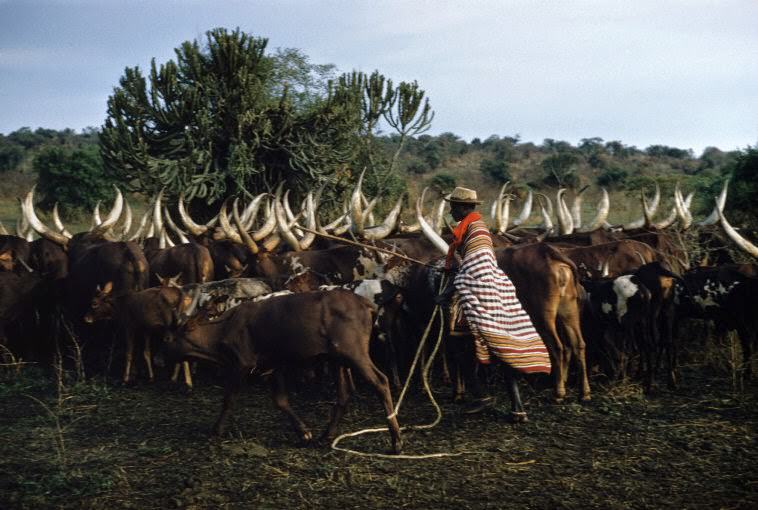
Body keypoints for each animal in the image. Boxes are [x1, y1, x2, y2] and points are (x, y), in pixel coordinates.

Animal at [164, 288, 406, 452]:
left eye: (170, 338)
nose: (159, 358)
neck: (223, 329)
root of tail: (367, 304)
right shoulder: (274, 365)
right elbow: (281, 401)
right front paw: (305, 433)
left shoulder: (242, 364)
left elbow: (229, 399)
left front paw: (216, 430)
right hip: (338, 359)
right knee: (344, 395)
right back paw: (326, 436)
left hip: (354, 353)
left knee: (380, 381)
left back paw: (396, 440)